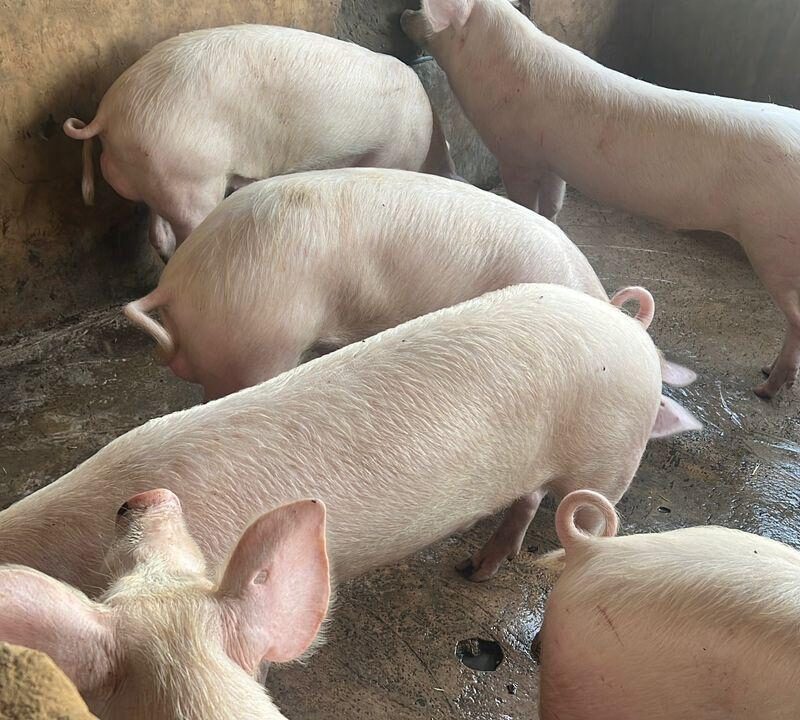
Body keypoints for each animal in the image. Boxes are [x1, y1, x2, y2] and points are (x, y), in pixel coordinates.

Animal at [401, 0, 800, 398]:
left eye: (426, 10)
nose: (402, 15)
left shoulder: (517, 156)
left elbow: (526, 201)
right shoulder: (552, 163)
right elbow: (553, 206)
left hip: (773, 243)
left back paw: (765, 388)